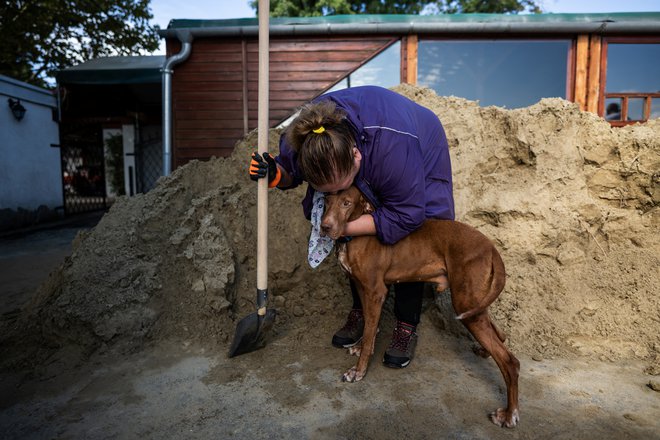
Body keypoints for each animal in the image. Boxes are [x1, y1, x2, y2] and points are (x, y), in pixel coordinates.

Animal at [320, 185, 520, 426]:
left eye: (346, 203)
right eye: (326, 200)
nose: (324, 226)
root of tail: (491, 248)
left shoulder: (376, 291)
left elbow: (369, 336)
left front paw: (358, 370)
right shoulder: (361, 287)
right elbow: (369, 325)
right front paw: (360, 345)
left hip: (465, 304)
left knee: (509, 361)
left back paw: (509, 413)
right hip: (475, 303)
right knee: (500, 334)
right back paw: (484, 351)